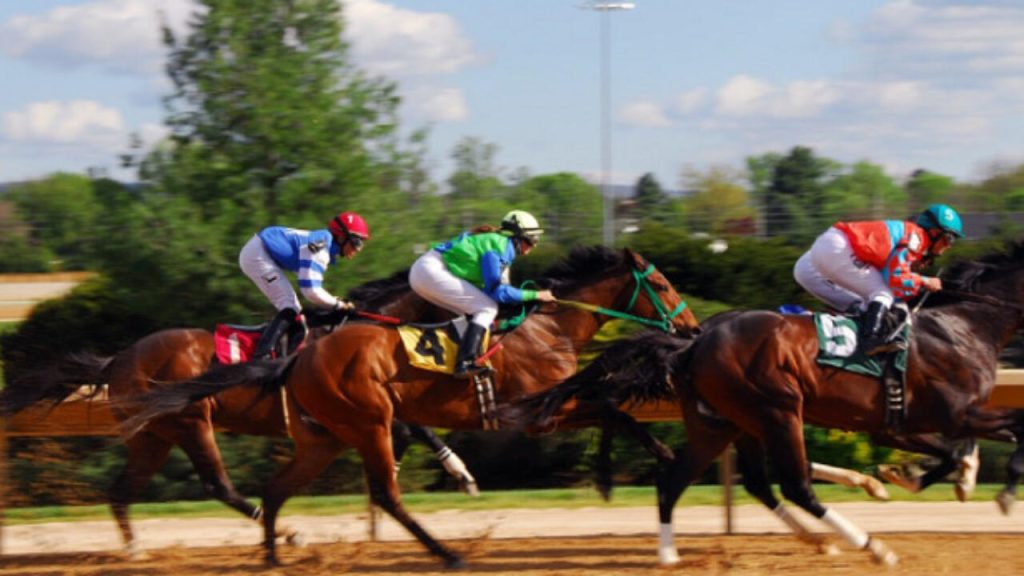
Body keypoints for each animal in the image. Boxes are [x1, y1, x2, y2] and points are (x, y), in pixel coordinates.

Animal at [0, 268, 477, 557]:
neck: (359, 329)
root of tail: (118, 360)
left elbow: (418, 429)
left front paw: (458, 471)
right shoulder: (350, 401)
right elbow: (410, 428)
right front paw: (445, 472)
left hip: (152, 436)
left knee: (121, 491)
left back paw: (135, 550)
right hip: (191, 423)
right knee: (217, 484)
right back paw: (285, 531)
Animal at [117, 243, 696, 561]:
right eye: (662, 284)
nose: (690, 328)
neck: (548, 327)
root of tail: (123, 359)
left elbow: (612, 408)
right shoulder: (535, 415)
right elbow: (611, 409)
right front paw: (624, 472)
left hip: (183, 433)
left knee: (144, 492)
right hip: (204, 424)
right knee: (224, 484)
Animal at [507, 242, 1024, 565]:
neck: (963, 326)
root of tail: (694, 343)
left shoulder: (906, 422)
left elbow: (957, 450)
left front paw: (912, 477)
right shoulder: (949, 413)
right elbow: (1010, 429)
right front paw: (994, 491)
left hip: (723, 424)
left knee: (682, 480)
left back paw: (670, 554)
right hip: (775, 410)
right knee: (793, 485)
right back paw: (870, 546)